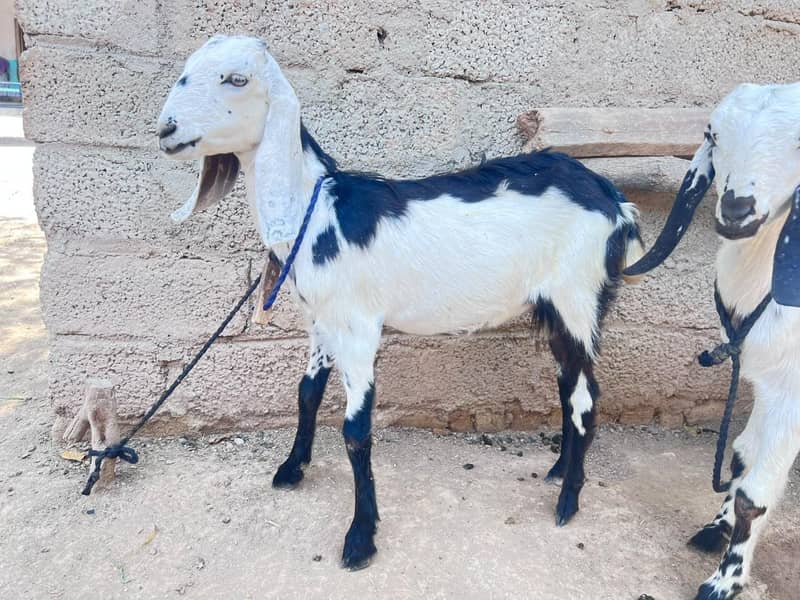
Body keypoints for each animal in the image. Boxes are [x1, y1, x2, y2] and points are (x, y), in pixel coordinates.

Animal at [156, 35, 644, 570]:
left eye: (237, 79)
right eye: (185, 72)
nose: (166, 130)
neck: (318, 210)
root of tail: (613, 200)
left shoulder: (357, 327)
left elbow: (355, 429)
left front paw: (360, 537)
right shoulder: (320, 321)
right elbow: (307, 393)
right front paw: (292, 468)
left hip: (579, 296)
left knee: (586, 396)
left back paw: (568, 501)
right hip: (556, 307)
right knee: (568, 386)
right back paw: (558, 469)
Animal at [626, 82, 800, 600]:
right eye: (713, 134)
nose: (737, 209)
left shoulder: (793, 393)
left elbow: (755, 494)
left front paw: (726, 580)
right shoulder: (764, 379)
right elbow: (742, 458)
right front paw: (715, 527)